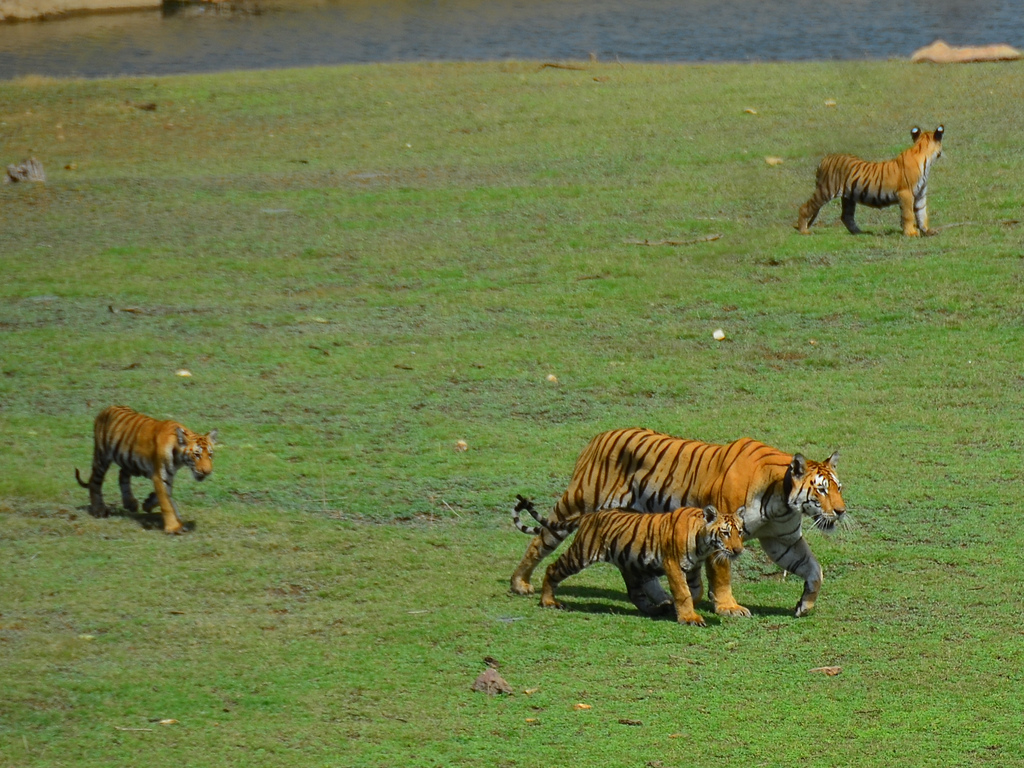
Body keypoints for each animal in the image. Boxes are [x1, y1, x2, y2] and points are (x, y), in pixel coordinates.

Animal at [76, 409, 219, 536]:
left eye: (210, 455)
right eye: (197, 455)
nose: (207, 471)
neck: (179, 458)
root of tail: (105, 409)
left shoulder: (167, 476)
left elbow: (167, 498)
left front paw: (149, 503)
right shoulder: (159, 475)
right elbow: (166, 503)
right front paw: (174, 527)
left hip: (129, 460)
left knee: (122, 474)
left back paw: (130, 503)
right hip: (102, 456)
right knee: (95, 481)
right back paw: (99, 510)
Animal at [516, 495, 741, 626]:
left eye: (739, 532)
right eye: (725, 533)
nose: (738, 550)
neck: (703, 545)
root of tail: (590, 515)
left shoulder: (693, 568)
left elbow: (695, 591)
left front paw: (679, 608)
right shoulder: (674, 565)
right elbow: (683, 592)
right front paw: (689, 617)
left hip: (631, 565)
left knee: (635, 594)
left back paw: (657, 609)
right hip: (581, 554)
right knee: (553, 568)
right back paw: (548, 601)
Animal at [798, 123, 942, 236]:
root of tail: (824, 159)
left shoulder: (920, 194)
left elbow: (921, 213)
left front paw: (927, 231)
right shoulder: (906, 193)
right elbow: (908, 214)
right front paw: (911, 233)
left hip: (848, 197)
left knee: (846, 216)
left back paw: (860, 233)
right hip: (826, 190)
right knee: (805, 207)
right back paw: (804, 231)